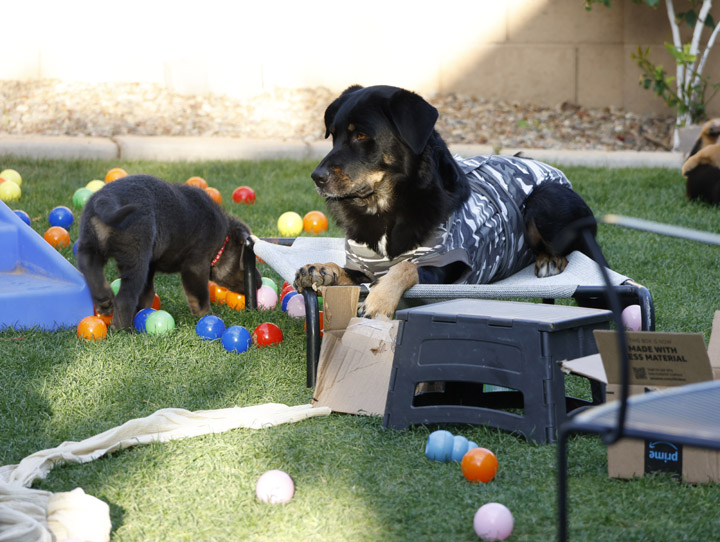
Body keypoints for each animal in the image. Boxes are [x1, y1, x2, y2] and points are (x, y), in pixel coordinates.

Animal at [78, 176, 258, 332]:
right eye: (249, 260)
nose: (259, 283)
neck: (222, 241)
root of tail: (107, 198)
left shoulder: (151, 266)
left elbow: (147, 293)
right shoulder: (196, 265)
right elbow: (200, 297)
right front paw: (208, 316)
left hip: (89, 246)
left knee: (91, 271)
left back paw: (104, 301)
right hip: (137, 259)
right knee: (124, 298)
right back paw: (124, 330)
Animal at [292, 85, 600, 318]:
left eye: (361, 135)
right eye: (333, 136)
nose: (316, 177)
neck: (384, 209)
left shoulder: (443, 268)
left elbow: (404, 267)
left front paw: (379, 300)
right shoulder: (363, 267)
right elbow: (349, 271)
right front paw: (322, 270)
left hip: (544, 200)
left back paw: (550, 259)